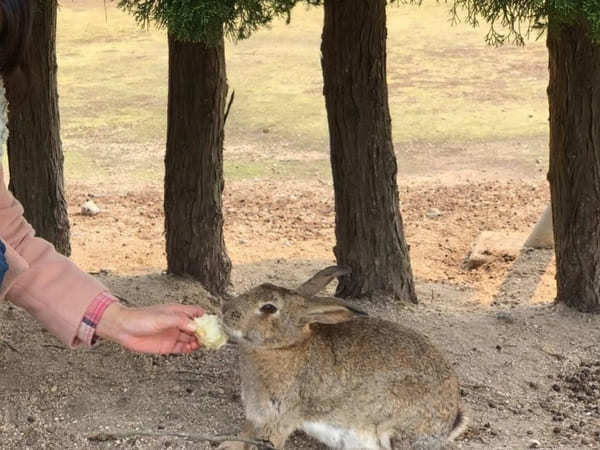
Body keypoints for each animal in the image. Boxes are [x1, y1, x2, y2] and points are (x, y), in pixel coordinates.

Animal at [218, 268, 466, 450]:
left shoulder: (282, 417)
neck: (286, 347)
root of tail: (450, 421)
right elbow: (244, 433)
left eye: (269, 307)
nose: (225, 310)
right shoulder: (256, 415)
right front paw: (227, 445)